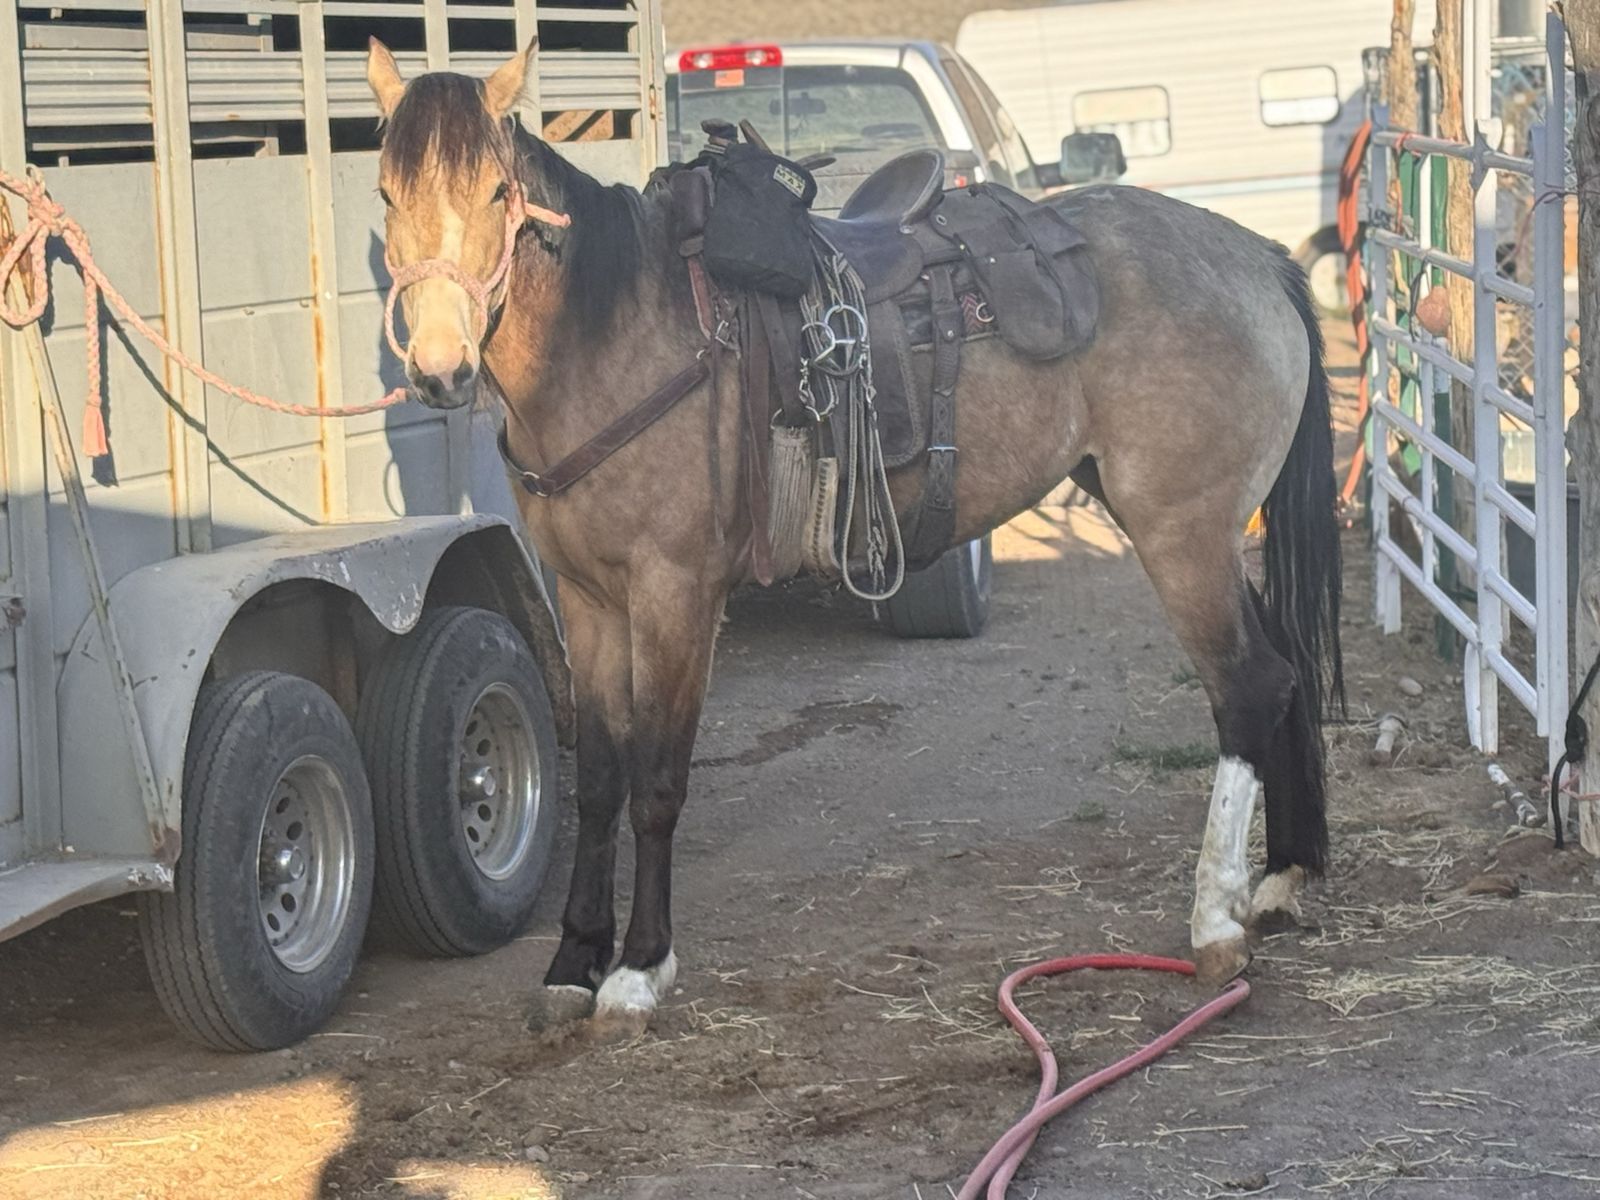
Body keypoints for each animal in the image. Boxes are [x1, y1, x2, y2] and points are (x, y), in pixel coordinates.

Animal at [365, 42, 1343, 1026]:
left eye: (497, 190)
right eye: (384, 191)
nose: (440, 368)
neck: (615, 335)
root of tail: (1254, 255)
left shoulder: (675, 593)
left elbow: (657, 781)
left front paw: (639, 969)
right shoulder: (589, 601)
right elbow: (601, 782)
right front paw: (572, 960)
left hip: (1179, 531)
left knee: (1246, 687)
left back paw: (1214, 920)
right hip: (1202, 530)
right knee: (1283, 670)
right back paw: (1280, 879)